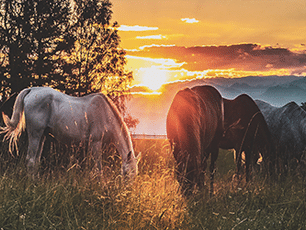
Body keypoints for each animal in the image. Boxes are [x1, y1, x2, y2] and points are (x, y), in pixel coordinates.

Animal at [0, 86, 140, 180]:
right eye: (127, 174)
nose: (127, 192)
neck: (105, 113)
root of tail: (32, 90)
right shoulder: (95, 142)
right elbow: (98, 167)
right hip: (35, 134)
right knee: (30, 160)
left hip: (42, 136)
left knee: (35, 161)